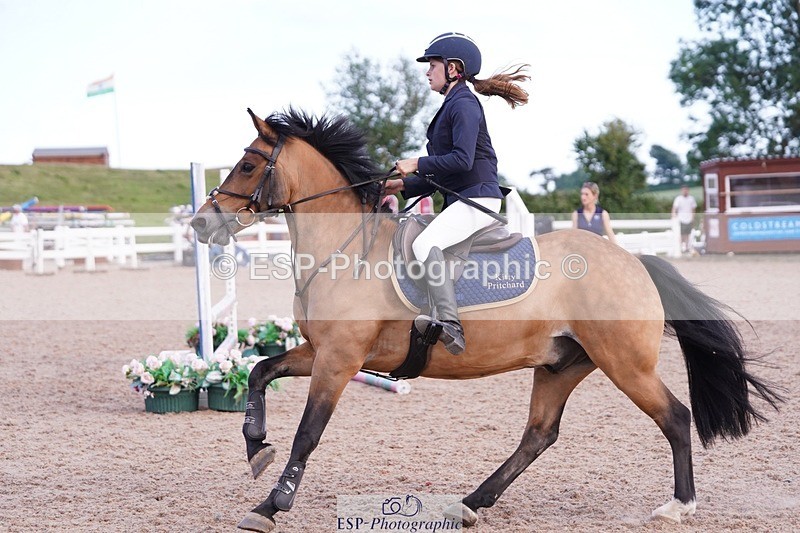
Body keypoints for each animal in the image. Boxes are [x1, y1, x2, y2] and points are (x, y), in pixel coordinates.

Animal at [190, 108, 782, 532]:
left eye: (248, 165)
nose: (200, 223)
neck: (345, 250)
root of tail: (635, 262)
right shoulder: (320, 351)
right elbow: (259, 371)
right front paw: (255, 446)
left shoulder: (340, 359)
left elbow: (308, 433)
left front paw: (272, 504)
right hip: (561, 365)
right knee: (539, 434)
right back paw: (471, 501)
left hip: (625, 364)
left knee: (675, 418)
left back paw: (678, 506)